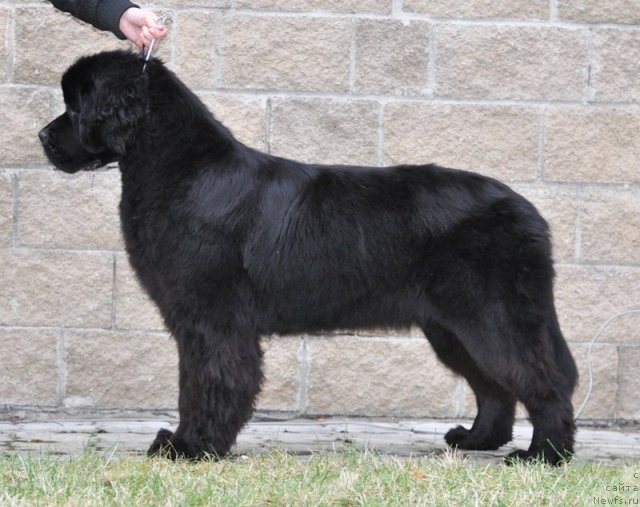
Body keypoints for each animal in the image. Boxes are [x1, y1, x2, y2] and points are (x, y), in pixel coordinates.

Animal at [41, 50, 580, 464]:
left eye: (77, 103)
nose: (43, 137)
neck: (181, 169)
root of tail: (530, 212)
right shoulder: (197, 320)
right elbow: (196, 382)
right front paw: (188, 442)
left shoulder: (212, 318)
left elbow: (210, 381)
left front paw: (191, 448)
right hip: (452, 327)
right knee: (493, 385)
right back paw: (477, 440)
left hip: (493, 315)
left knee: (542, 378)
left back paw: (544, 456)